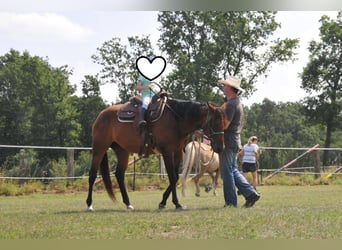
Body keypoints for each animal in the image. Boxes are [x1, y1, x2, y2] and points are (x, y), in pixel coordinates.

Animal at [85, 94, 226, 211]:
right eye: (215, 122)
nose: (220, 147)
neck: (176, 119)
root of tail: (101, 114)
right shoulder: (167, 152)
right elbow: (172, 177)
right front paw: (176, 203)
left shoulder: (177, 152)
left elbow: (175, 177)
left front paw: (163, 202)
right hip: (99, 149)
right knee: (92, 175)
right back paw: (89, 204)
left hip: (122, 151)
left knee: (119, 174)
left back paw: (128, 203)